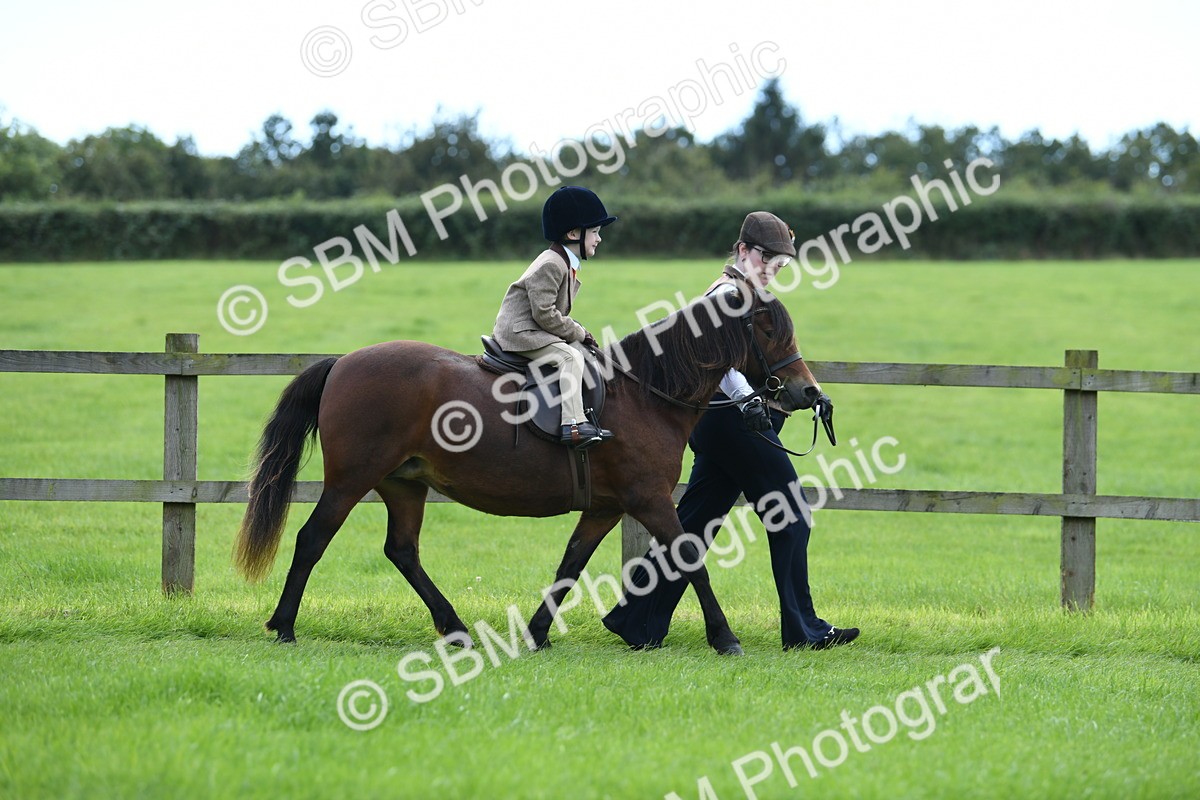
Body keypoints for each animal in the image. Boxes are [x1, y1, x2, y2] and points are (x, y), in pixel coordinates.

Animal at [233, 283, 824, 655]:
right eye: (769, 331)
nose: (807, 393)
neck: (644, 394)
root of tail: (344, 363)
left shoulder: (606, 507)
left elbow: (570, 565)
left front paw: (537, 634)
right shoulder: (649, 500)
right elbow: (690, 560)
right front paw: (725, 638)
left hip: (403, 484)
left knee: (402, 552)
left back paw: (455, 629)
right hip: (351, 481)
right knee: (312, 539)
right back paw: (284, 626)